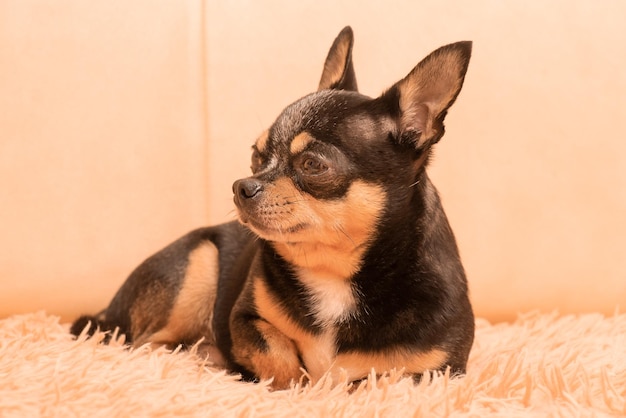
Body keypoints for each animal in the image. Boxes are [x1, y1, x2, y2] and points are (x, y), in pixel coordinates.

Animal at [70, 27, 472, 390]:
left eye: (313, 165)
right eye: (256, 156)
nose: (241, 186)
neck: (332, 271)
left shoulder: (439, 371)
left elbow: (381, 380)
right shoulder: (244, 320)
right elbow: (275, 352)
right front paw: (290, 384)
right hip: (198, 263)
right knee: (147, 344)